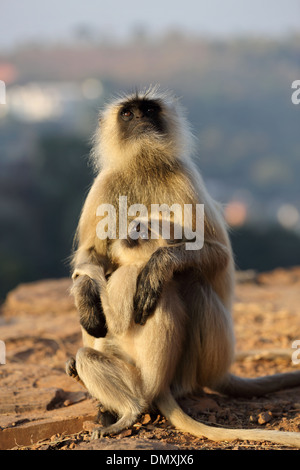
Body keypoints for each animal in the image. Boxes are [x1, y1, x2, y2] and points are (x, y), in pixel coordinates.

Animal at [67, 85, 300, 448]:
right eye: (128, 114)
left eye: (149, 110)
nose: (141, 119)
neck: (144, 166)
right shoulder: (104, 186)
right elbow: (92, 255)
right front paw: (86, 295)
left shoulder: (184, 178)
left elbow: (217, 254)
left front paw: (156, 268)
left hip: (207, 359)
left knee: (193, 282)